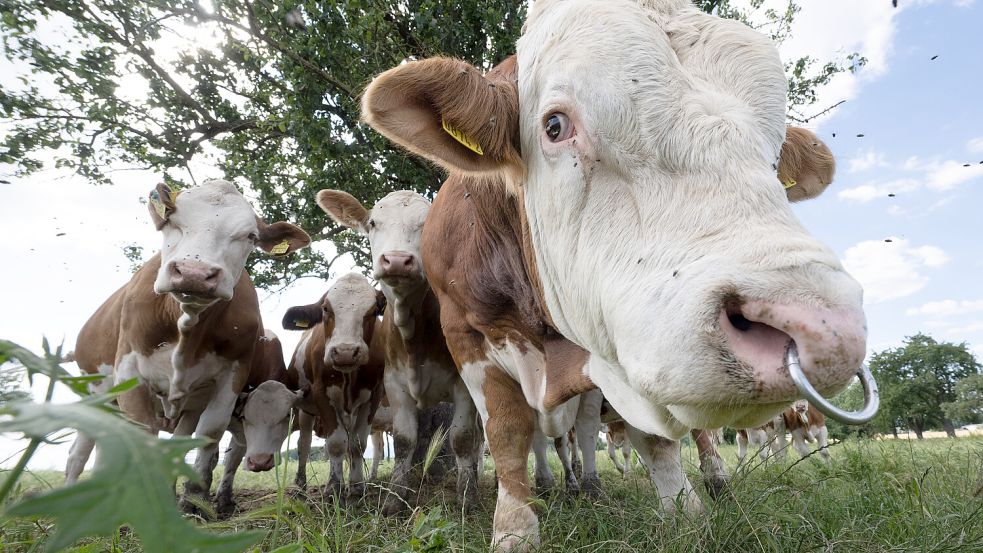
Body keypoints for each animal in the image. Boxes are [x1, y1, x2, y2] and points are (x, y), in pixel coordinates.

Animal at [108, 179, 310, 512]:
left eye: (250, 236)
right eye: (171, 221)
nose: (194, 274)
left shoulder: (231, 382)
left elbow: (217, 444)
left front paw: (200, 500)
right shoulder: (128, 371)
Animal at [280, 274, 388, 498]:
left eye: (374, 311)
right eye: (325, 309)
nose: (345, 352)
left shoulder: (374, 395)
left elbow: (357, 444)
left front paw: (356, 486)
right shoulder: (321, 394)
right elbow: (336, 444)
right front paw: (333, 488)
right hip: (306, 408)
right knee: (304, 443)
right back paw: (300, 484)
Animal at [316, 190, 484, 512]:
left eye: (428, 224)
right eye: (372, 223)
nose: (396, 260)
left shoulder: (464, 384)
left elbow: (462, 438)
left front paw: (467, 497)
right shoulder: (394, 384)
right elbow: (405, 441)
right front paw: (395, 499)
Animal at [364, 1, 868, 548]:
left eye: (775, 157)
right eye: (554, 125)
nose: (823, 328)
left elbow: (652, 437)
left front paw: (685, 512)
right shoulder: (465, 336)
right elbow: (506, 433)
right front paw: (515, 529)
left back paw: (707, 479)